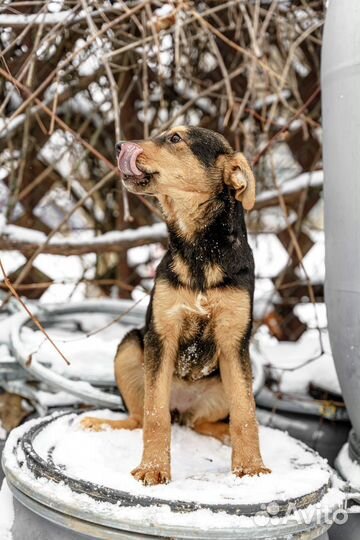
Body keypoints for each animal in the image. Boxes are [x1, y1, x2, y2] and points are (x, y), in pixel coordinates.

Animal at [82, 125, 270, 486]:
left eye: (175, 139)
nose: (119, 147)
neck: (200, 250)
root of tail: (182, 404)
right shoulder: (162, 334)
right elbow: (155, 416)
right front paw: (153, 469)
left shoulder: (233, 341)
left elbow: (245, 414)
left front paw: (251, 468)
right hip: (130, 347)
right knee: (141, 418)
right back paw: (102, 423)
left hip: (227, 379)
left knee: (204, 422)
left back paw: (223, 434)